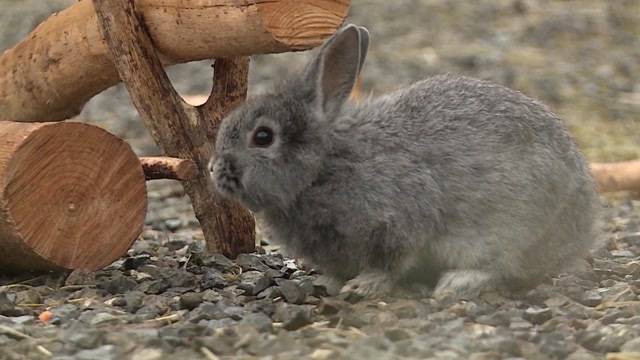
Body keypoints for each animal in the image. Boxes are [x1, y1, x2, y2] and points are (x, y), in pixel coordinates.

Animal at [209, 23, 600, 298]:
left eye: (263, 137)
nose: (213, 169)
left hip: (510, 228)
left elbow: (390, 261)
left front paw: (363, 285)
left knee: (502, 266)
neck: (322, 166)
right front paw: (328, 283)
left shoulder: (397, 220)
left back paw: (456, 283)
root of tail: (582, 225)